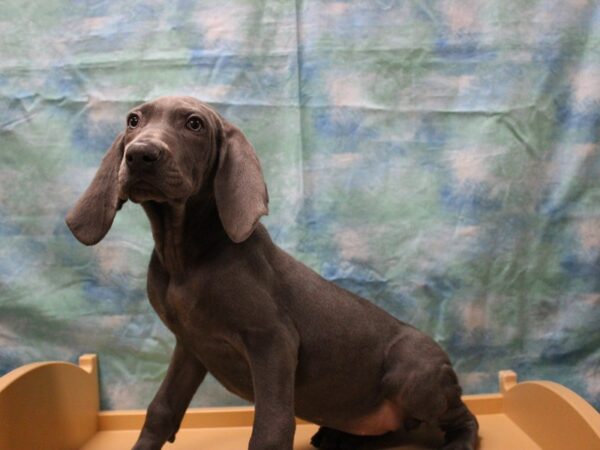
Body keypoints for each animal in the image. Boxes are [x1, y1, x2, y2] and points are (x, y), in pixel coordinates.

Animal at [64, 96, 478, 450]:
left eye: (194, 123)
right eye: (133, 121)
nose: (140, 154)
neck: (185, 258)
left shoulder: (273, 341)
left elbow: (272, 425)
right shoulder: (191, 345)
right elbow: (161, 409)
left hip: (414, 377)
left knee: (462, 415)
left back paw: (460, 440)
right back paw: (340, 436)